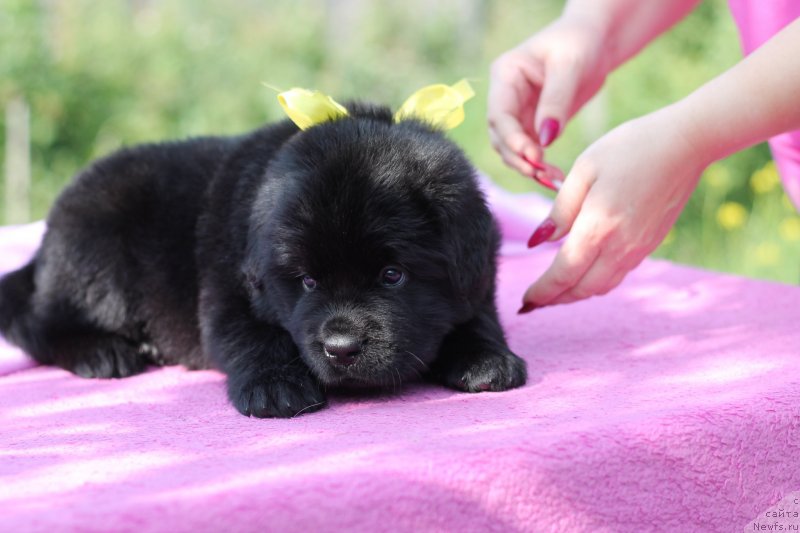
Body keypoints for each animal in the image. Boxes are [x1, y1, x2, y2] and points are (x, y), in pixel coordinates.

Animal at [0, 103, 528, 416]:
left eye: (393, 275)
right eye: (307, 281)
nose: (341, 348)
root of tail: (47, 240)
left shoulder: (477, 277)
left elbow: (477, 318)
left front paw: (488, 359)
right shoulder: (227, 291)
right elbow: (254, 335)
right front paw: (277, 387)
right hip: (96, 256)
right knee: (37, 322)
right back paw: (103, 352)